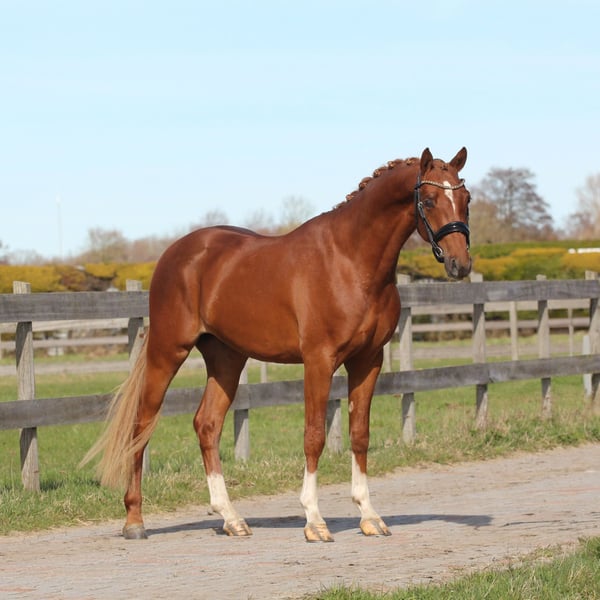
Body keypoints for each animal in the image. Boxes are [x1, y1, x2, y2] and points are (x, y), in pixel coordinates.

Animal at [82, 147, 472, 542]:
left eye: (466, 199)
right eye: (429, 199)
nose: (460, 264)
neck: (350, 261)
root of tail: (176, 253)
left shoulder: (368, 361)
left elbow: (360, 434)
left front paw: (369, 516)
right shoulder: (319, 360)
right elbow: (314, 436)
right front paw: (314, 520)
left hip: (226, 359)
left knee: (207, 424)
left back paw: (231, 518)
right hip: (168, 350)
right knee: (141, 425)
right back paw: (134, 520)